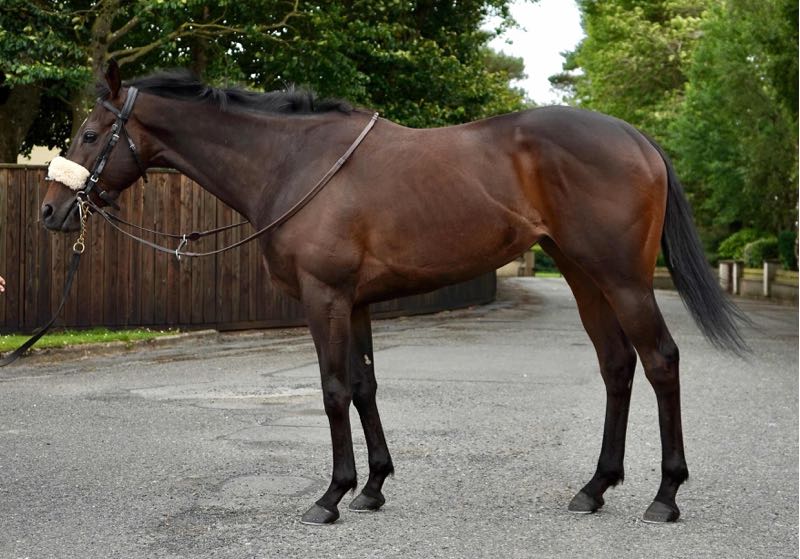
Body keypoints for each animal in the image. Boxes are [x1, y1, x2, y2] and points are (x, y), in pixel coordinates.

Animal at [41, 61, 746, 525]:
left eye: (88, 134)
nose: (51, 212)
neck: (293, 162)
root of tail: (637, 137)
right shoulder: (354, 302)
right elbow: (363, 385)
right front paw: (373, 487)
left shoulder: (323, 297)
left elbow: (331, 389)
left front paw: (330, 495)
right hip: (583, 277)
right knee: (617, 366)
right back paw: (595, 487)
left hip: (622, 279)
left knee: (660, 362)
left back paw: (665, 496)